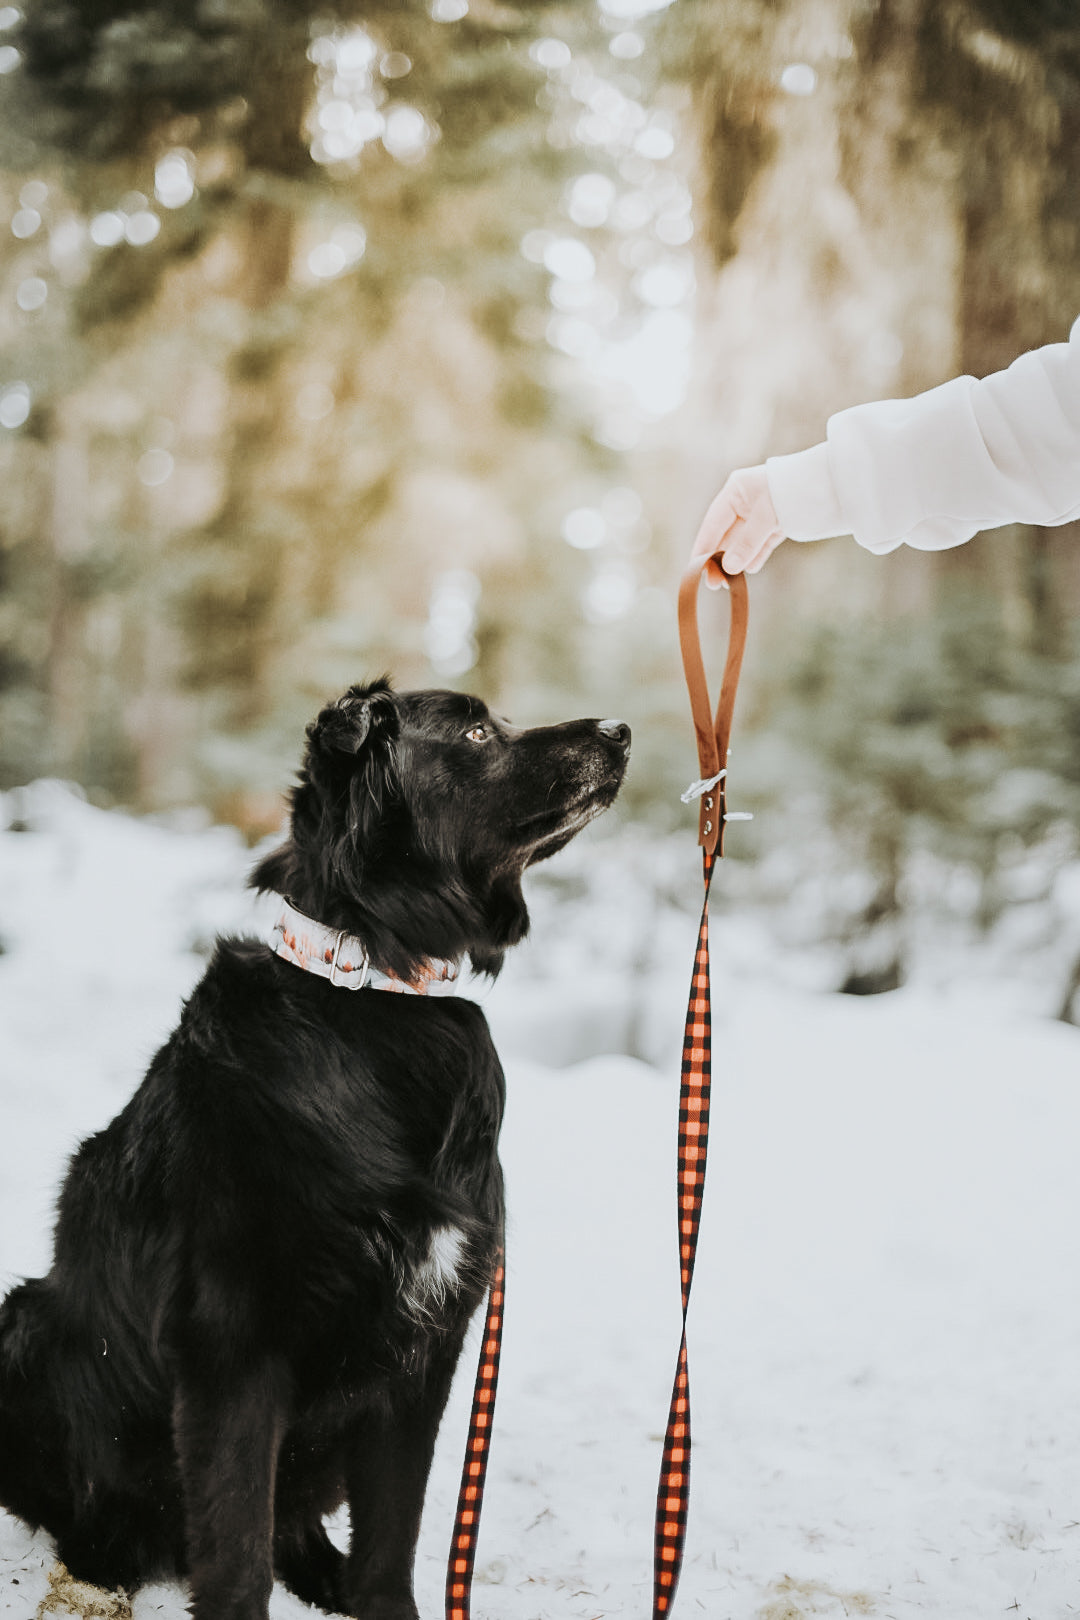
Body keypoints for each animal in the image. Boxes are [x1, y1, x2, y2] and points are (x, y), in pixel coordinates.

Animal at [0, 683, 625, 1620]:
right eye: (479, 731)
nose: (621, 730)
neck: (375, 987)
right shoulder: (233, 1344)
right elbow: (234, 1544)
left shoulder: (428, 1347)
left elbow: (392, 1528)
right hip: (26, 1321)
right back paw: (104, 1558)